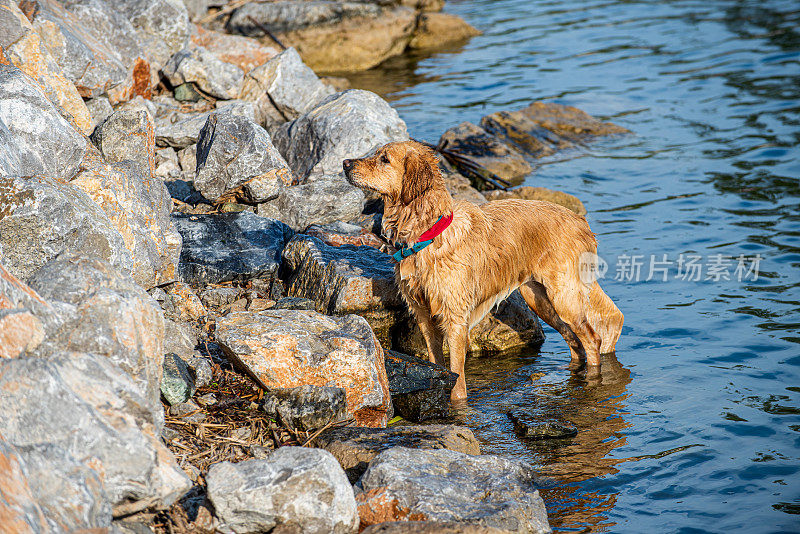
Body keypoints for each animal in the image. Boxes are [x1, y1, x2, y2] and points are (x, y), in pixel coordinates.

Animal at [340, 142, 620, 402]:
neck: (426, 234)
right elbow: (436, 362)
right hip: (539, 299)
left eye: (384, 159)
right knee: (574, 341)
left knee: (592, 340)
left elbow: (457, 378)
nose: (344, 163)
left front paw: (457, 404)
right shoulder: (422, 313)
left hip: (564, 297)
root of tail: (582, 222)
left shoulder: (454, 318)